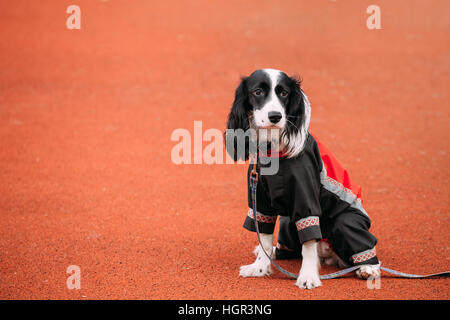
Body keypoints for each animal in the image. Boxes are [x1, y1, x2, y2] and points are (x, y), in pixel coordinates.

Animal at [225, 69, 380, 288]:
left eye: (284, 93)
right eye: (257, 91)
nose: (275, 116)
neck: (274, 150)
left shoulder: (305, 199)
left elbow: (308, 241)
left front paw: (307, 276)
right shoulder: (260, 199)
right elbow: (264, 236)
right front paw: (260, 267)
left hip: (346, 221)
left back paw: (368, 267)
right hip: (286, 223)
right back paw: (275, 252)